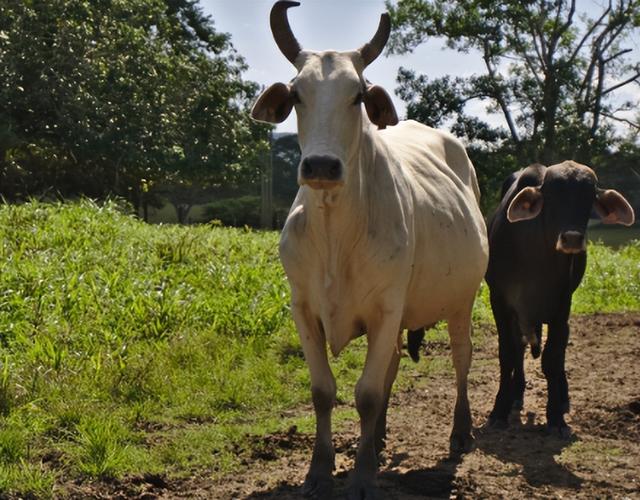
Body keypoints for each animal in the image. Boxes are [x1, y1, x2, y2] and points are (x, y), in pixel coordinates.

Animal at [252, 1, 488, 498]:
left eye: (358, 95)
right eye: (297, 94)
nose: (321, 166)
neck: (335, 232)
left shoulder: (387, 308)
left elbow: (367, 393)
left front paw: (362, 476)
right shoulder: (303, 308)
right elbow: (324, 391)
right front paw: (320, 470)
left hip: (463, 299)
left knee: (462, 356)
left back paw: (460, 432)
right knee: (394, 365)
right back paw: (377, 440)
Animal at [488, 162, 632, 436]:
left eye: (589, 198)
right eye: (552, 197)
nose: (572, 238)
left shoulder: (561, 305)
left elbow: (552, 358)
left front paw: (555, 416)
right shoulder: (500, 301)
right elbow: (508, 354)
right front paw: (499, 409)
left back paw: (562, 398)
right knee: (520, 348)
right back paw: (516, 394)